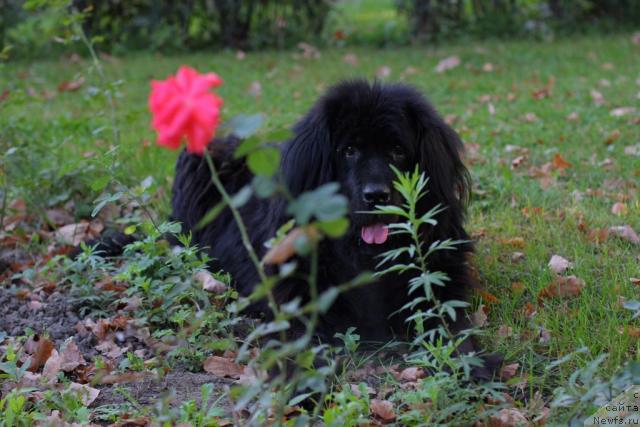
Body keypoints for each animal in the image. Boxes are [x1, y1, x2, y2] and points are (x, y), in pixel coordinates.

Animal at [169, 79, 496, 378]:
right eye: (348, 150)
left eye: (398, 150)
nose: (376, 196)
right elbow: (296, 345)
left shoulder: (439, 288)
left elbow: (452, 328)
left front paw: (472, 367)